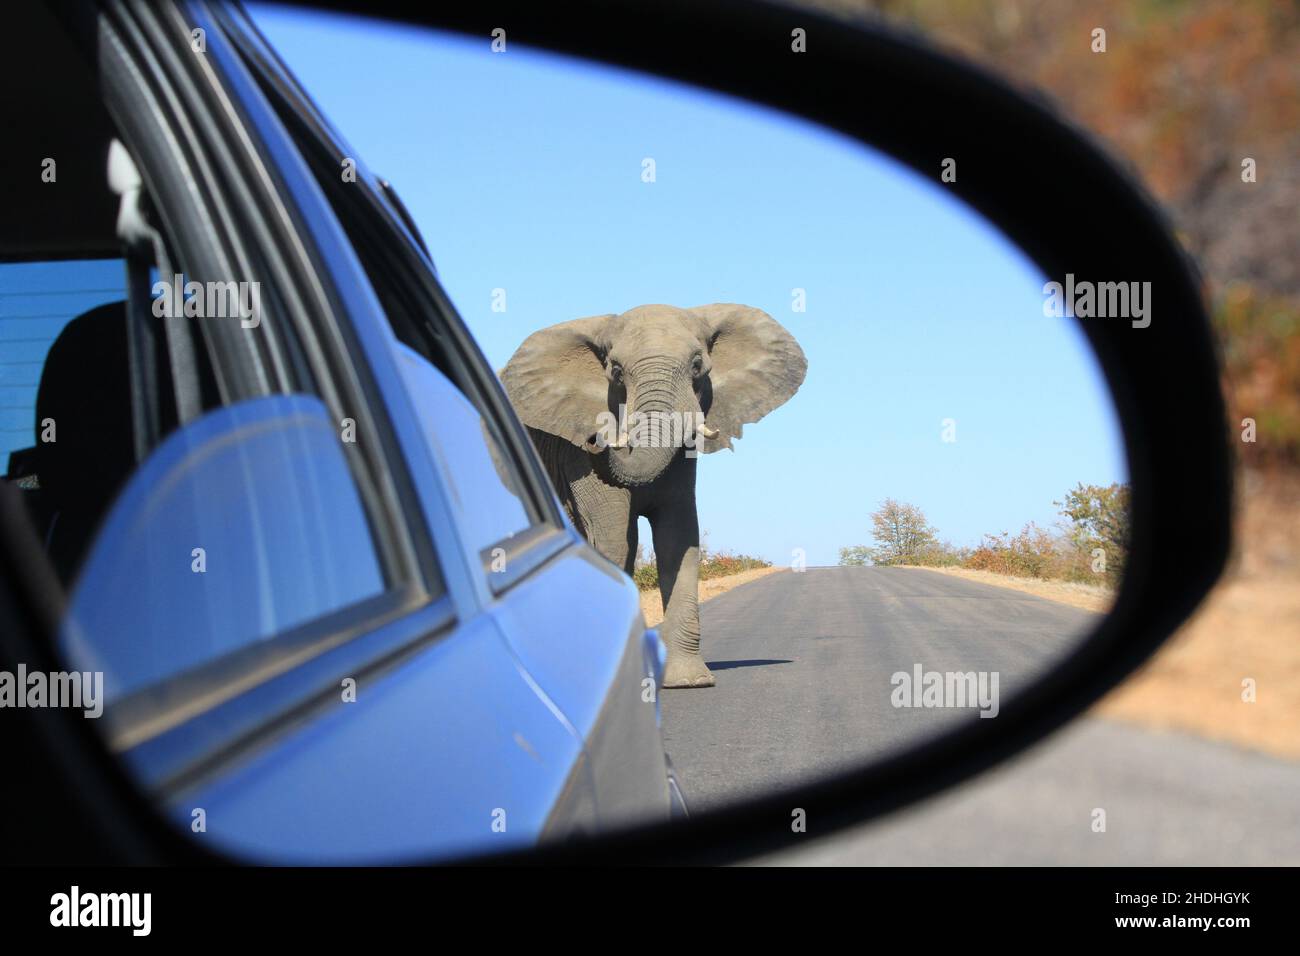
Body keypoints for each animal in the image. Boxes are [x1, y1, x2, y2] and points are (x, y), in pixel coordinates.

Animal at [500, 303, 807, 688]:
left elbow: (679, 539)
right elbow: (613, 542)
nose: (595, 438)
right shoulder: (575, 459)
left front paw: (690, 681)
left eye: (697, 365)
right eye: (616, 372)